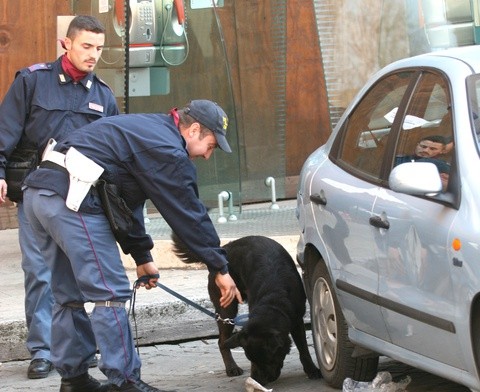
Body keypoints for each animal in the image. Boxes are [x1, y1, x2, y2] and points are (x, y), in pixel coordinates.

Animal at [171, 234, 320, 384]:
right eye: (251, 359)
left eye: (267, 360)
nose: (256, 380)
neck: (273, 299)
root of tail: (222, 249)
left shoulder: (296, 321)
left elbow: (303, 349)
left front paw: (312, 370)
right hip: (227, 308)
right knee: (221, 342)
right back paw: (231, 367)